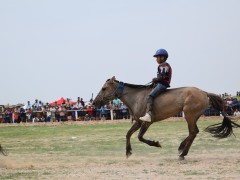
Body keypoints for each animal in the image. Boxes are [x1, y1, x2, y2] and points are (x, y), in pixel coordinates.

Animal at [92, 76, 240, 160]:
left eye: (104, 88)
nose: (94, 102)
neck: (137, 97)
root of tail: (204, 93)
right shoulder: (139, 122)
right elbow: (128, 134)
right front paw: (128, 151)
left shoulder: (147, 122)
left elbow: (140, 137)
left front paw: (156, 144)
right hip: (193, 116)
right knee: (194, 132)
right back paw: (181, 148)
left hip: (189, 115)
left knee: (193, 132)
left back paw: (182, 153)